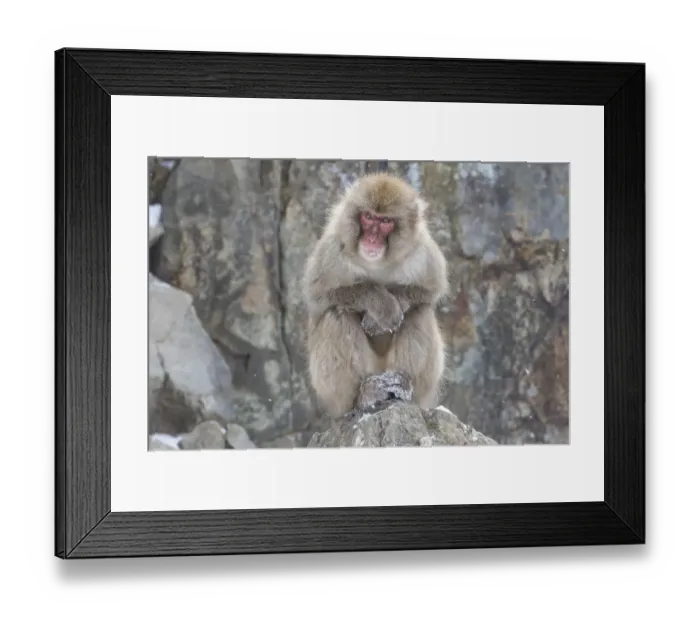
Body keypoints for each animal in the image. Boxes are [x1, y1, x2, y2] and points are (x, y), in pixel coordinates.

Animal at [301, 172, 450, 420]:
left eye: (386, 221)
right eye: (368, 217)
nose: (372, 239)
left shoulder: (422, 252)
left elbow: (431, 291)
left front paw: (394, 301)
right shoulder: (332, 249)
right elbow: (318, 296)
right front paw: (380, 304)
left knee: (420, 311)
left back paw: (401, 386)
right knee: (337, 315)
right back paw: (362, 396)